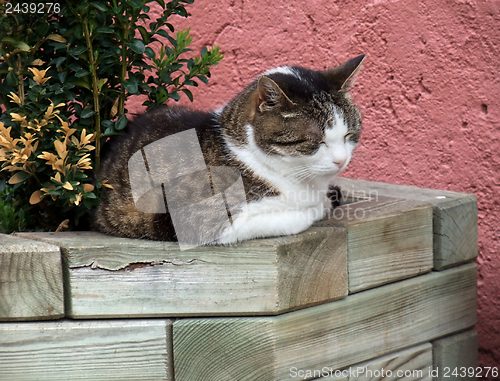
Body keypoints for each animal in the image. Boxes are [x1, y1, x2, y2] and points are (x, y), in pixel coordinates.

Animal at [92, 54, 364, 246]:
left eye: (349, 135)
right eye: (316, 141)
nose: (341, 160)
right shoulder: (197, 219)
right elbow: (294, 216)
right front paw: (320, 205)